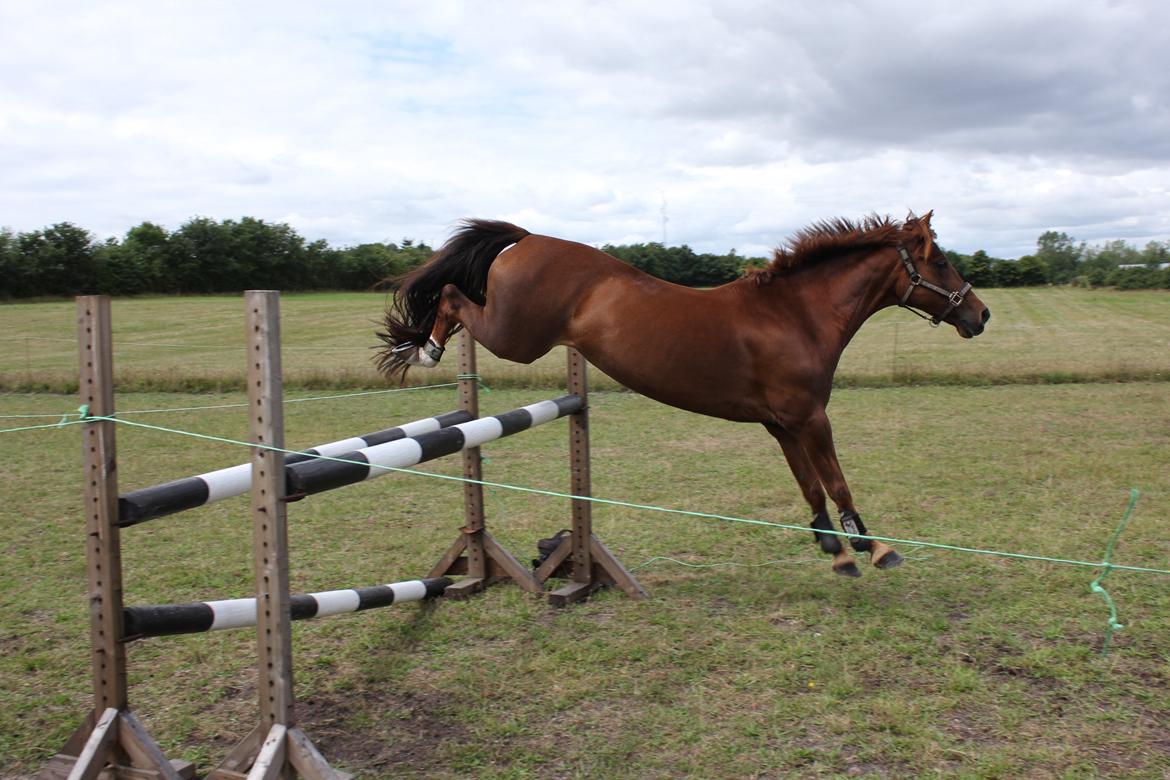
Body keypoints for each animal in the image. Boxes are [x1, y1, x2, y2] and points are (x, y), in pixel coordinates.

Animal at [379, 210, 992, 577]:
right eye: (940, 259)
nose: (980, 314)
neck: (796, 313)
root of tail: (528, 239)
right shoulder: (811, 418)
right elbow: (836, 481)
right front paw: (872, 546)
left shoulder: (784, 425)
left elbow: (811, 487)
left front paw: (834, 548)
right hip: (514, 337)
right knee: (452, 295)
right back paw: (427, 349)